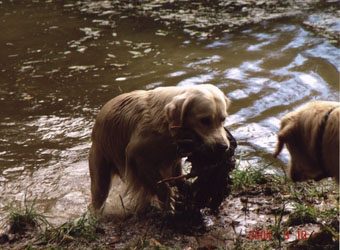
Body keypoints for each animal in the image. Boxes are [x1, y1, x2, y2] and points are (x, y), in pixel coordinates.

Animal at [87, 84, 231, 213]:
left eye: (223, 119)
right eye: (205, 120)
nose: (223, 146)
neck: (166, 124)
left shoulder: (174, 158)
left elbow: (178, 176)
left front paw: (184, 188)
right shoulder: (137, 156)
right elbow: (160, 185)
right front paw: (168, 202)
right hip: (101, 176)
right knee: (97, 201)